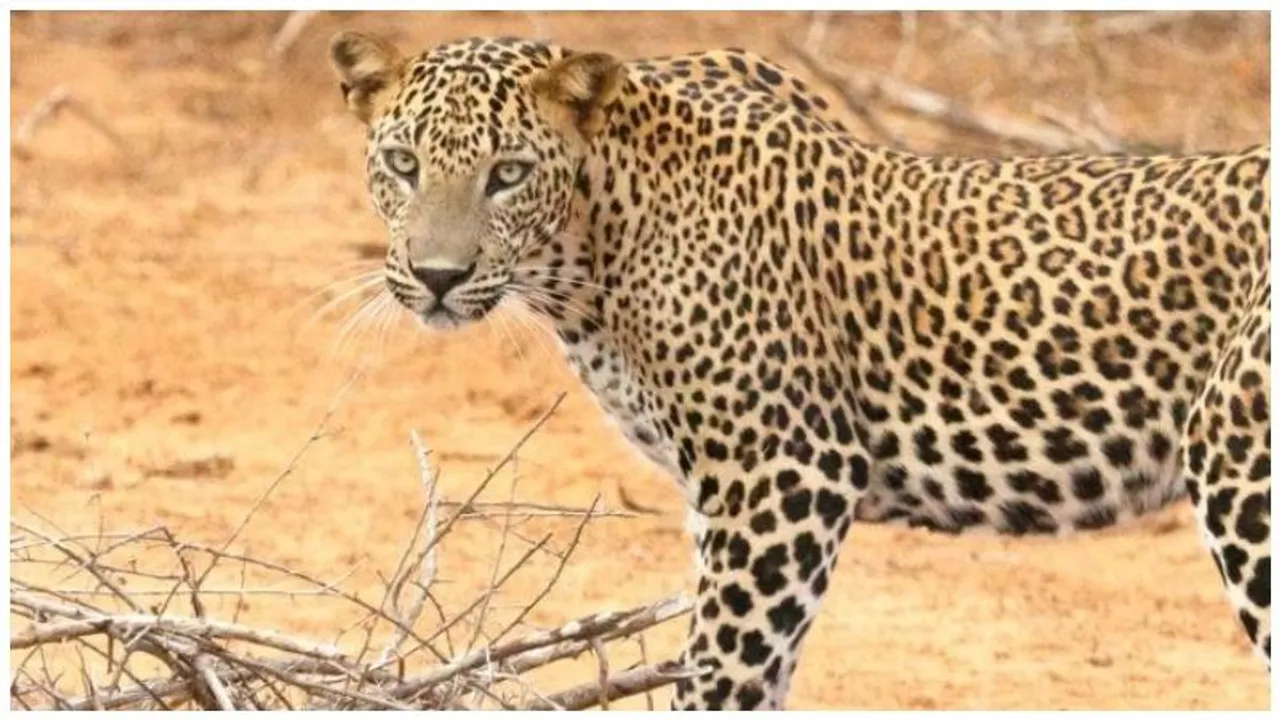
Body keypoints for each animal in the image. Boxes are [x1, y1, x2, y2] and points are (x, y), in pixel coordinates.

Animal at [327, 31, 1271, 709]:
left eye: (509, 173)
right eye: (404, 164)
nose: (438, 276)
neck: (592, 248)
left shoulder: (785, 472)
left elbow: (721, 671)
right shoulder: (719, 498)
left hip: (1239, 466)